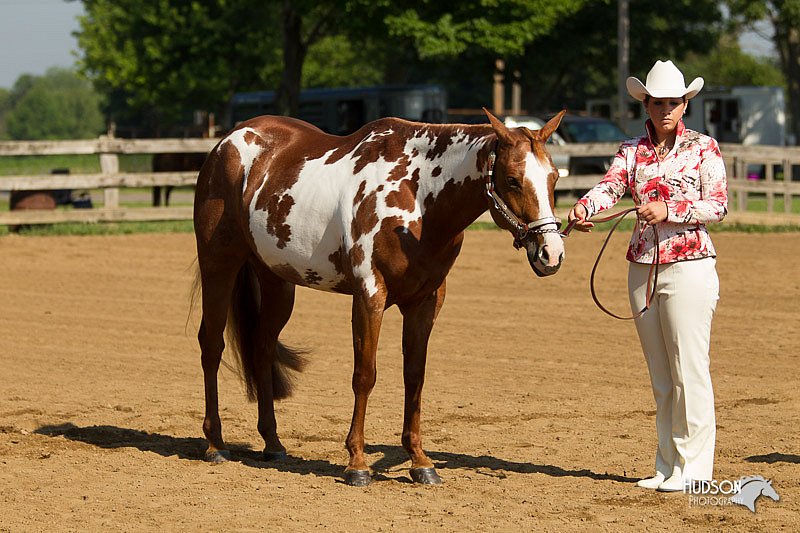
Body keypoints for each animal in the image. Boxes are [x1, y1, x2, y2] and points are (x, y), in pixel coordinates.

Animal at [192, 106, 568, 484]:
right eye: (513, 180)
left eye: (553, 179)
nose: (550, 254)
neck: (418, 196)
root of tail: (227, 141)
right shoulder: (369, 295)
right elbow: (365, 375)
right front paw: (357, 462)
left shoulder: (425, 302)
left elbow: (414, 376)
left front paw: (420, 460)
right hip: (218, 265)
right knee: (211, 346)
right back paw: (215, 444)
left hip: (276, 281)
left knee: (262, 348)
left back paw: (272, 443)